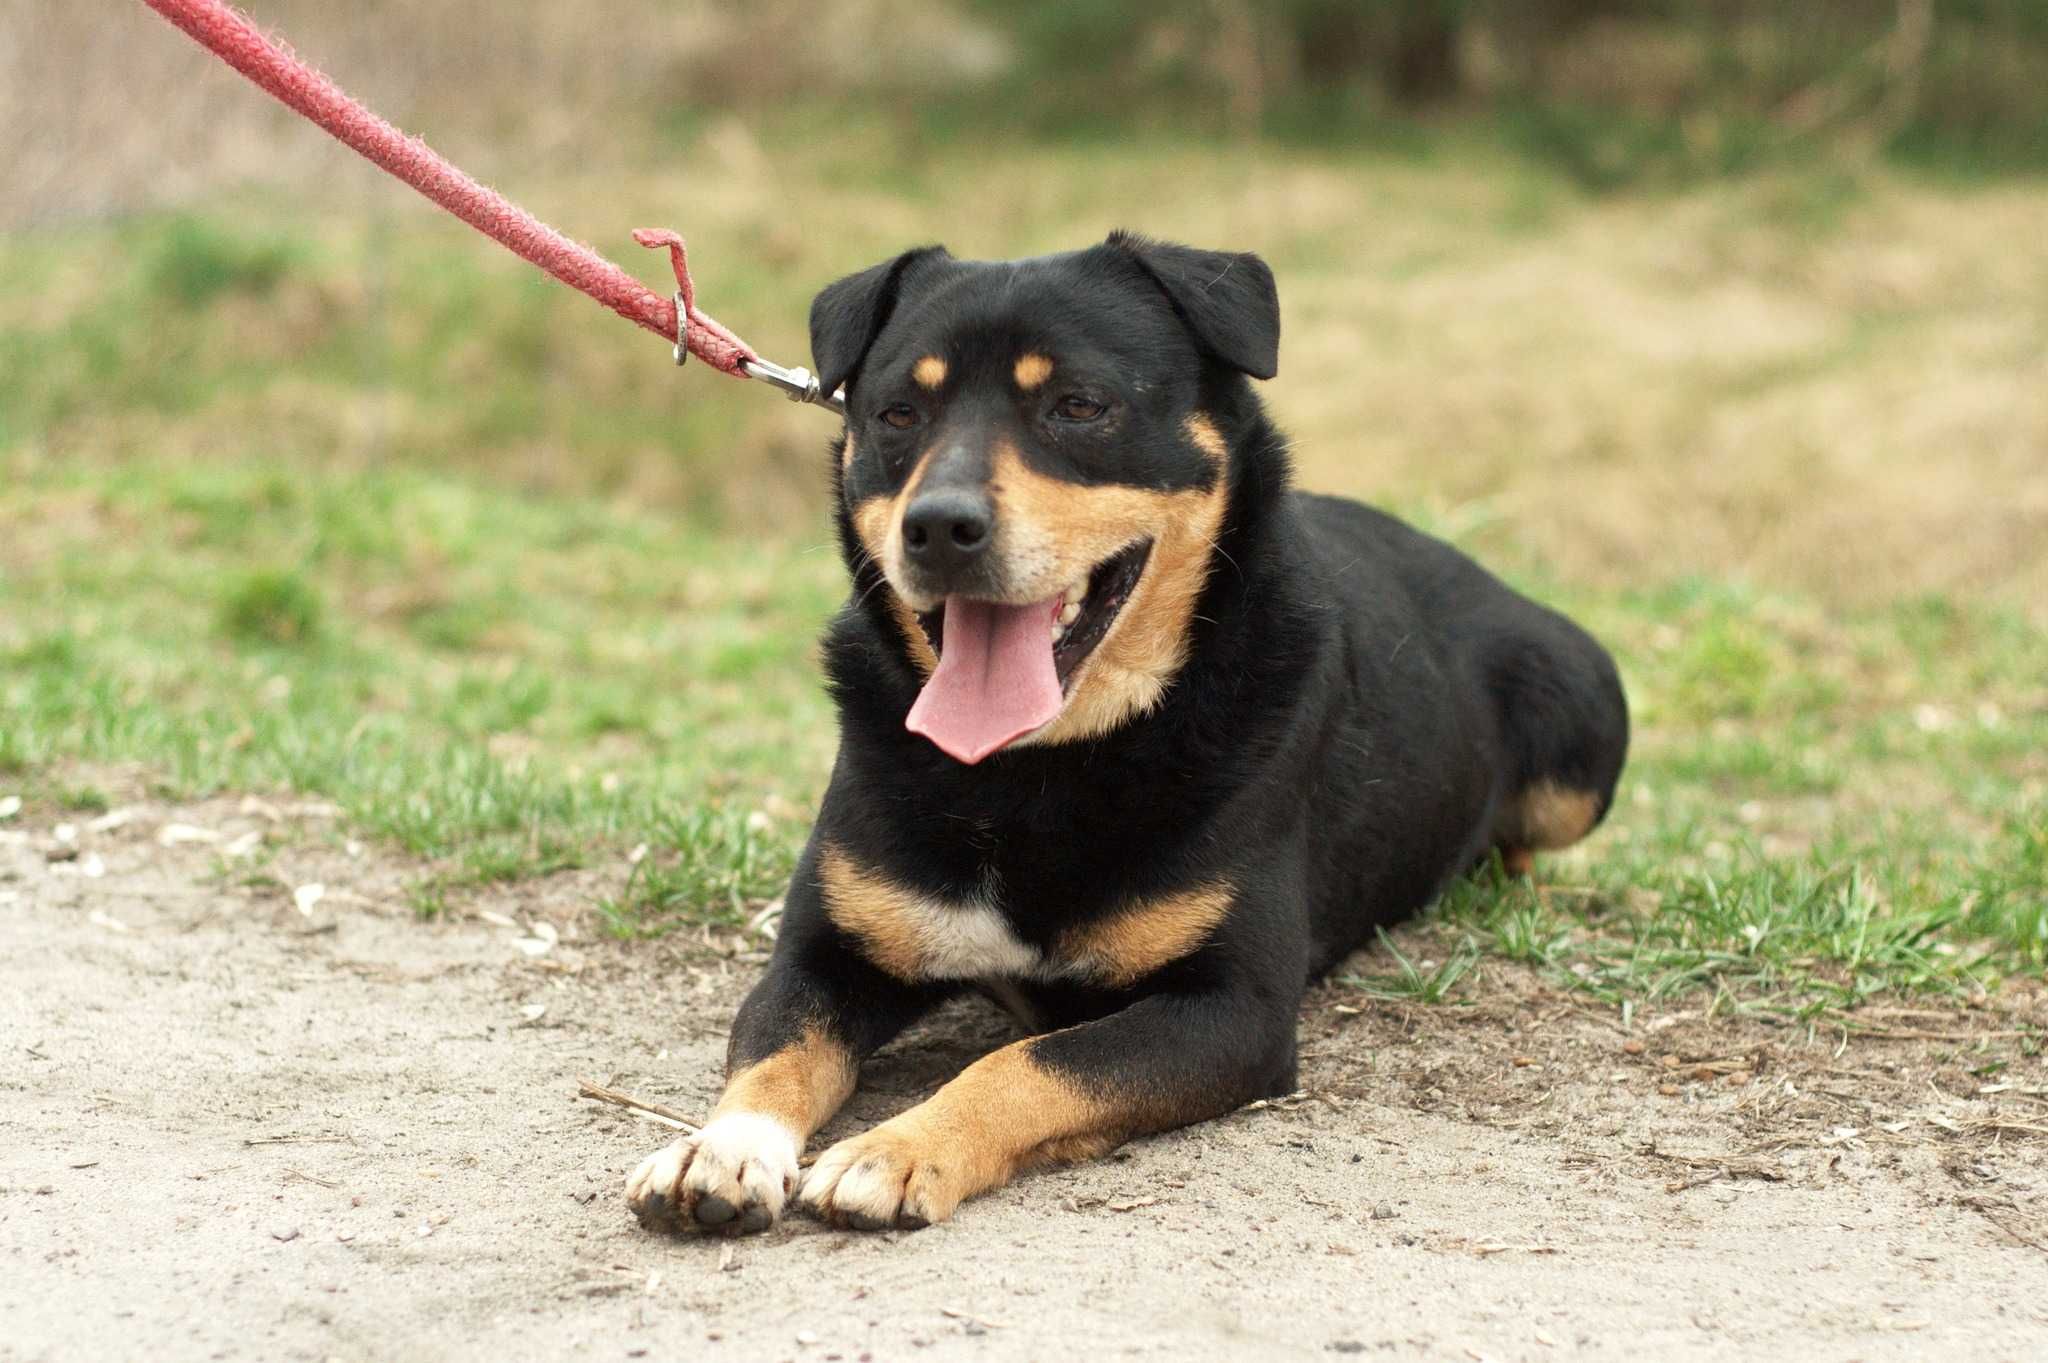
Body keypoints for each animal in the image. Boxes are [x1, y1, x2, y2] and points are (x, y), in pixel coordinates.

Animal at [622, 231, 1630, 1227]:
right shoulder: (827, 952)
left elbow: (1030, 1062)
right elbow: (774, 1046)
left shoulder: (1231, 1009)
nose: (938, 525)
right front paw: (723, 1147)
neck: (1033, 766)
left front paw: (899, 1148)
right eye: (898, 413)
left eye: (1080, 405)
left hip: (1584, 724)